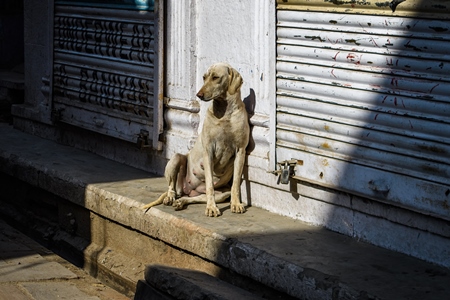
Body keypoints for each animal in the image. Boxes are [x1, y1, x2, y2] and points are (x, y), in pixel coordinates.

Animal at [142, 63, 250, 217]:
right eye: (204, 77)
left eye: (215, 77)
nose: (199, 95)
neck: (225, 112)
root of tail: (186, 189)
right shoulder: (208, 151)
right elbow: (210, 184)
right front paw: (211, 208)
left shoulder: (240, 151)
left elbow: (235, 183)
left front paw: (235, 204)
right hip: (176, 159)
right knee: (171, 187)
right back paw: (170, 197)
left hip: (222, 193)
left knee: (195, 198)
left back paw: (181, 202)